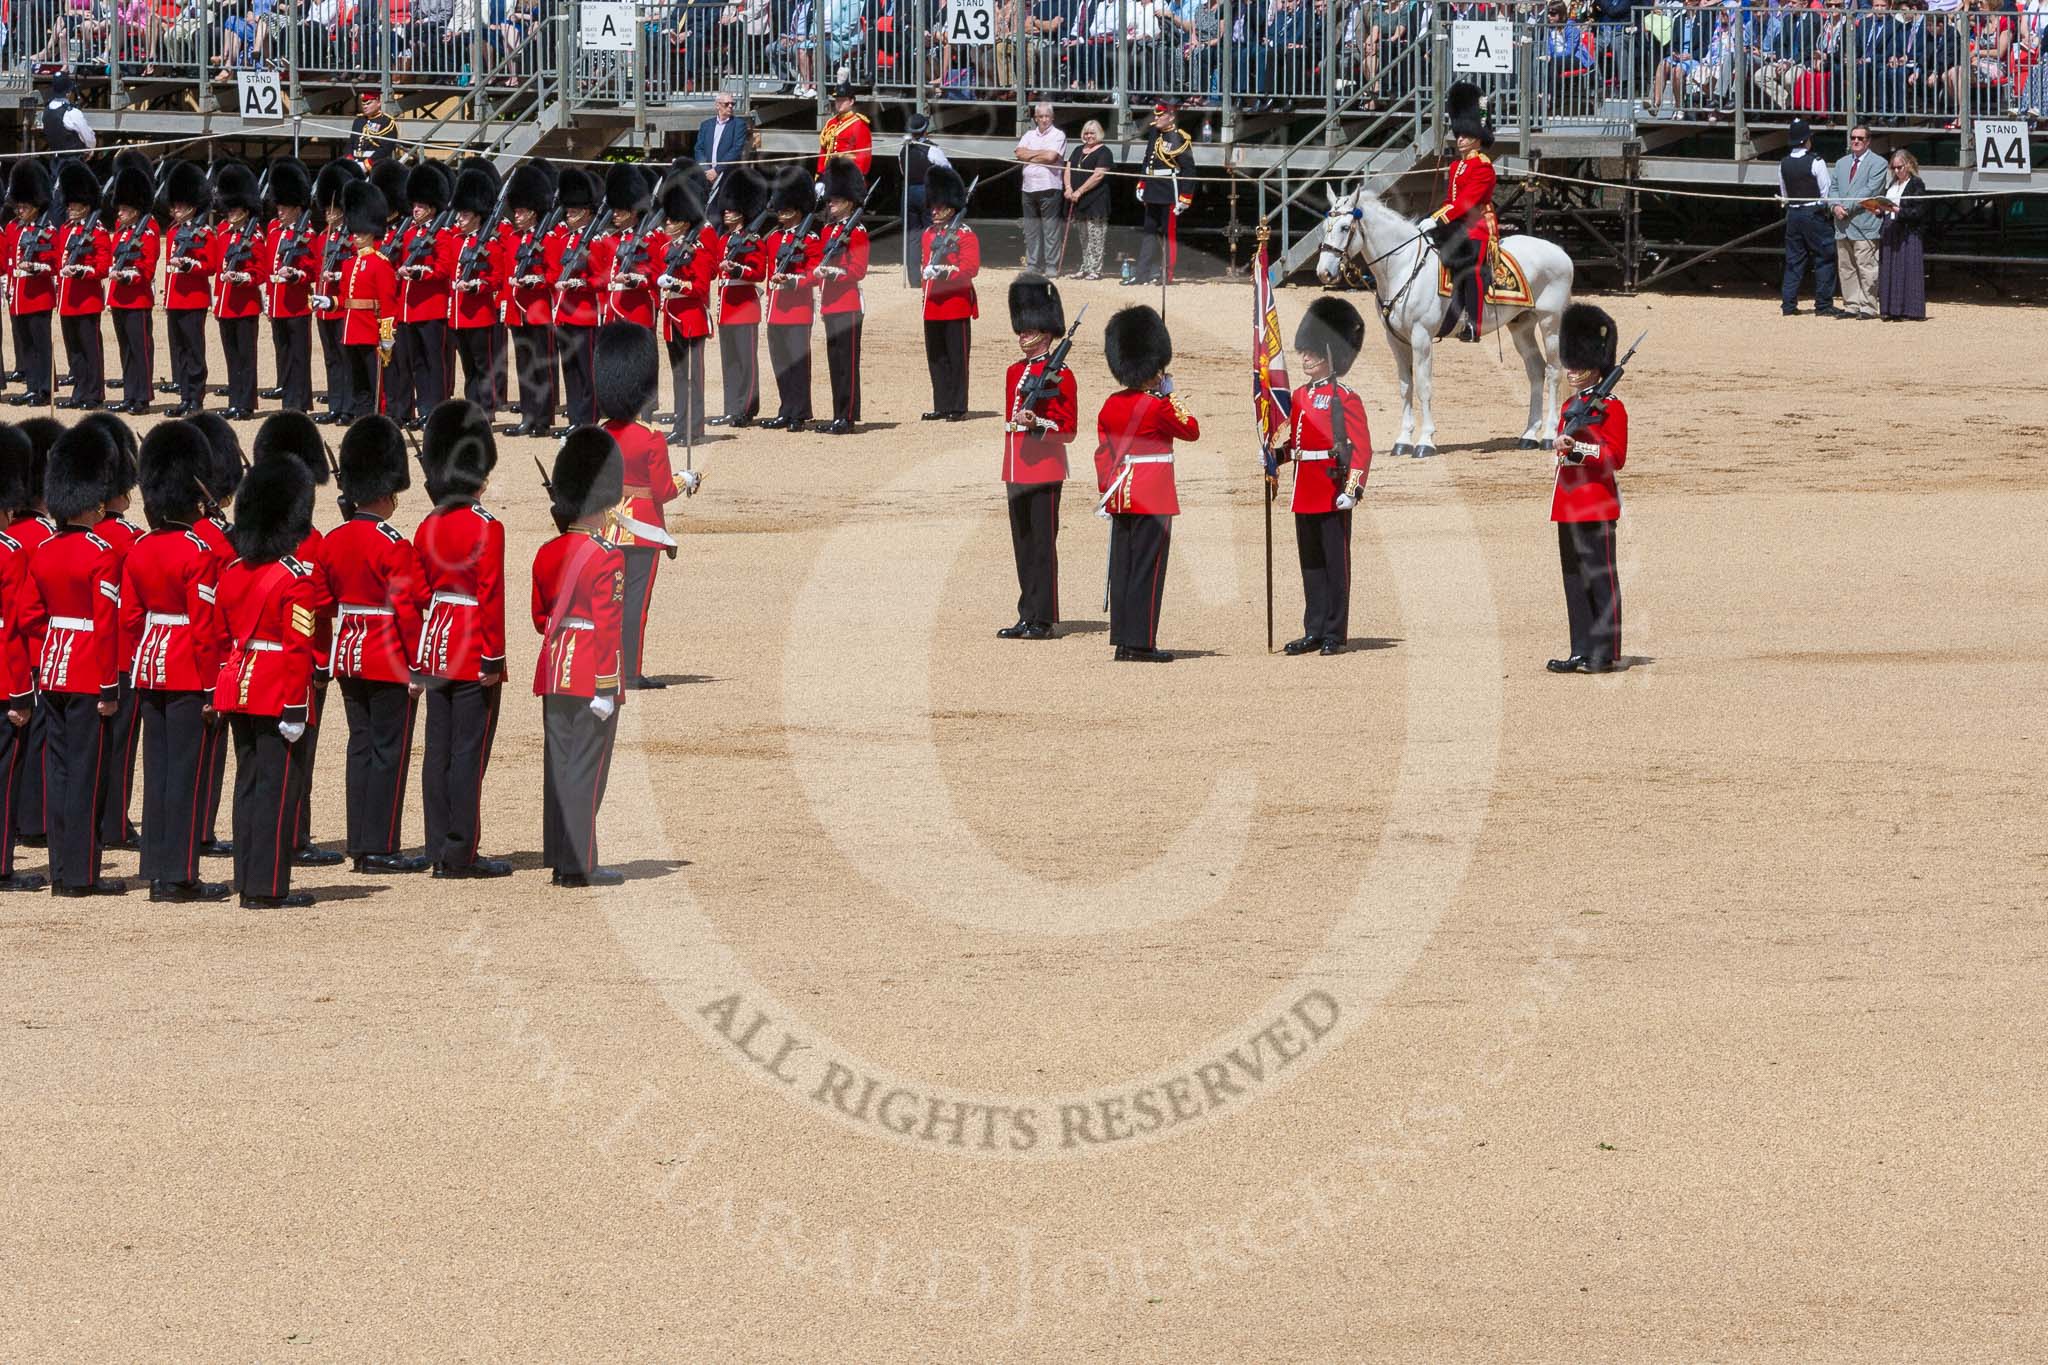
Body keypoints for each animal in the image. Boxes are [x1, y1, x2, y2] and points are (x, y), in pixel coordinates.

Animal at [1310, 181, 1564, 462]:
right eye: (1325, 226)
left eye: (1345, 228)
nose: (1324, 272)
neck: (1403, 265)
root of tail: (1559, 251)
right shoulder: (1396, 339)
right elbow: (1405, 386)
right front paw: (1402, 440)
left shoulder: (1421, 336)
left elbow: (1423, 386)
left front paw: (1425, 441)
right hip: (1521, 325)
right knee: (1536, 370)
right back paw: (1529, 435)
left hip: (1550, 322)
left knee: (1553, 372)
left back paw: (1549, 435)